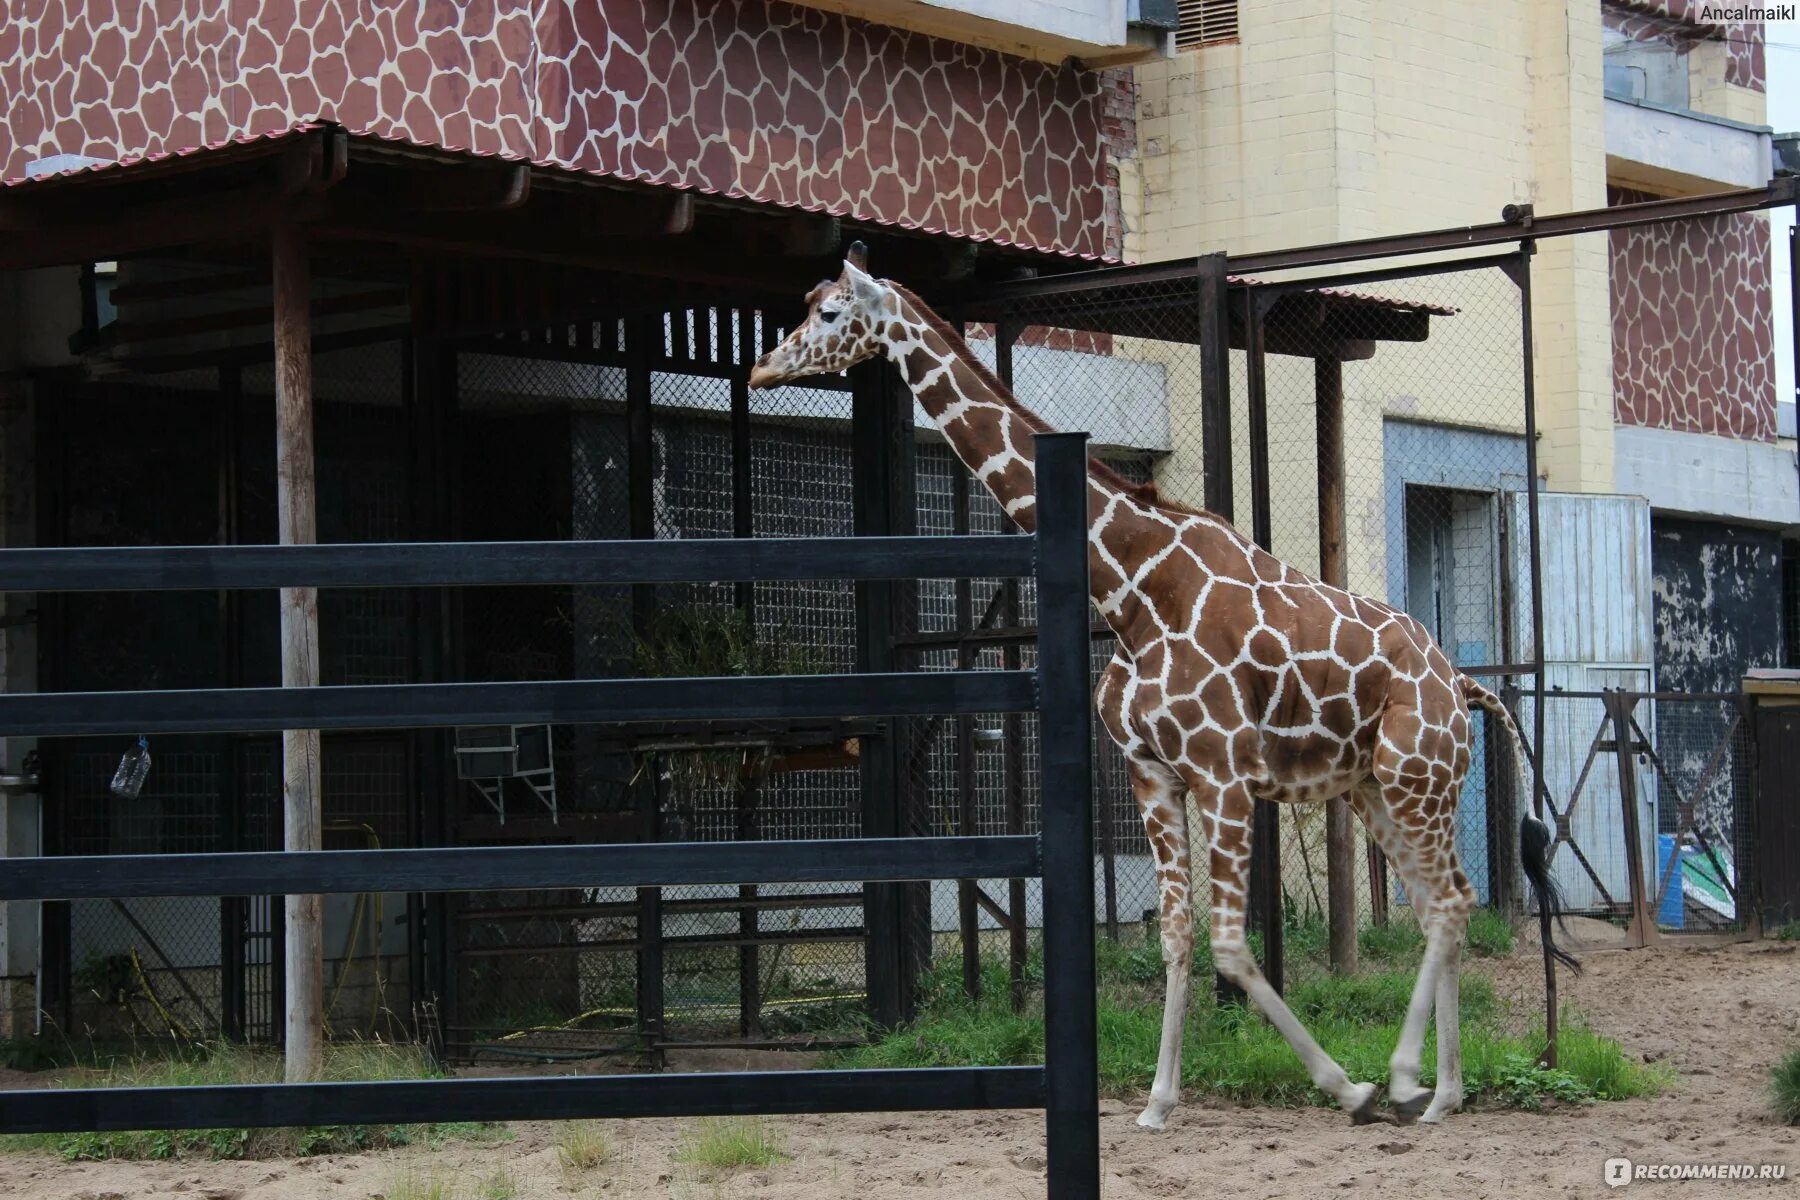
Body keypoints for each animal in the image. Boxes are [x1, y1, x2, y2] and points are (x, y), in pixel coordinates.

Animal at [745, 248, 1576, 1129]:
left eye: (830, 313)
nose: (762, 366)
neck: (1132, 591)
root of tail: (1463, 684)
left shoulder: (1224, 774)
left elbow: (1229, 944)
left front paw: (1344, 1086)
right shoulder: (1152, 772)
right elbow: (1178, 933)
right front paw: (1157, 1100)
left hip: (1417, 776)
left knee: (1448, 903)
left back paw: (1406, 1076)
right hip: (1373, 787)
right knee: (1442, 901)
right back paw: (1443, 1091)